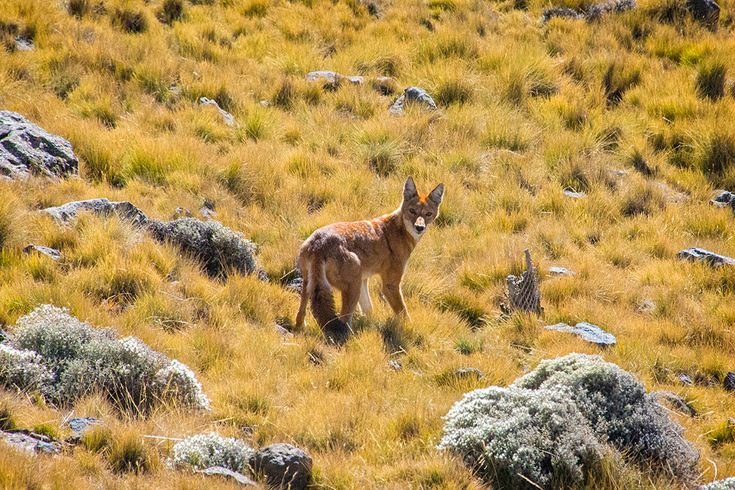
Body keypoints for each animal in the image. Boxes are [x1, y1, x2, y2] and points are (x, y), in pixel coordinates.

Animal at [295, 176, 444, 344]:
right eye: (412, 211)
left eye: (428, 214)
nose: (419, 227)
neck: (400, 231)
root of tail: (318, 244)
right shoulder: (390, 285)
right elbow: (404, 314)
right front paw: (412, 330)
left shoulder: (364, 280)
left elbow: (369, 310)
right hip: (352, 285)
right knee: (344, 320)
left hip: (311, 285)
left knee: (300, 315)